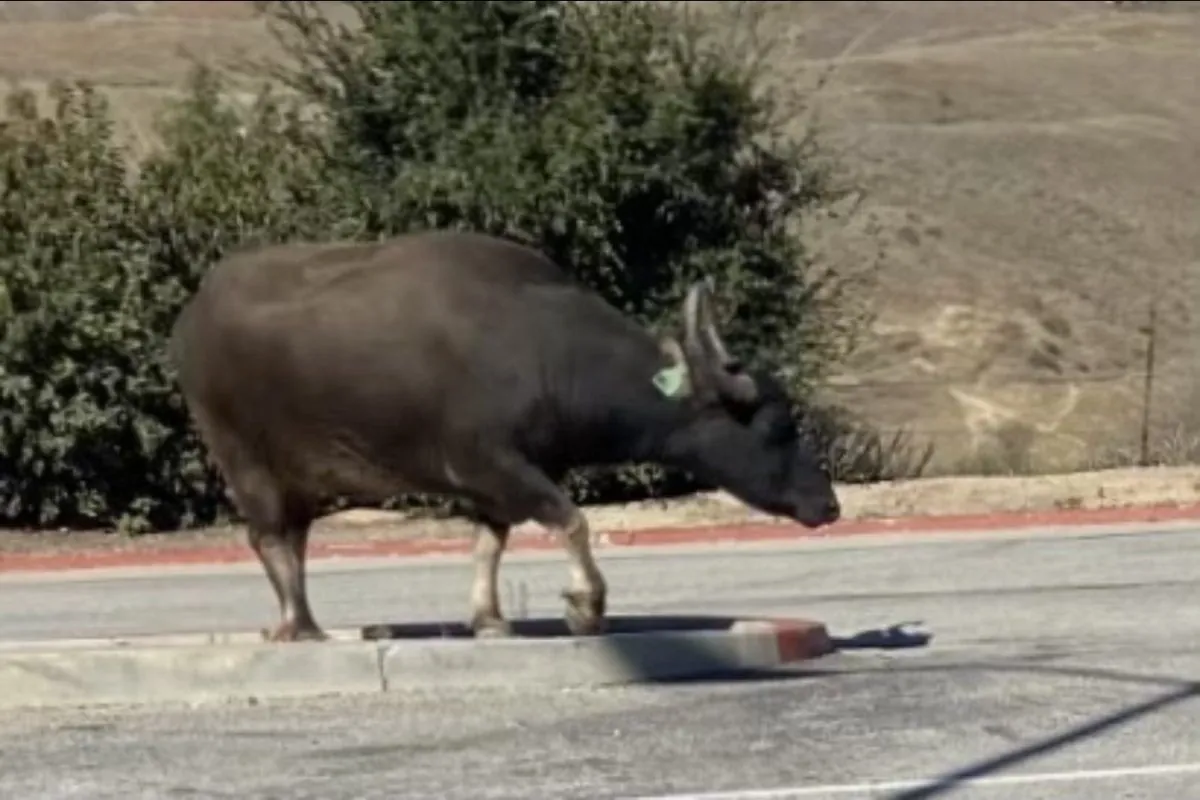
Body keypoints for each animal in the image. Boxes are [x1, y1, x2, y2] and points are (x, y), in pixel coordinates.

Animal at [171, 227, 844, 642]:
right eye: (778, 425)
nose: (829, 504)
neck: (544, 352)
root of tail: (192, 317)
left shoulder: (493, 486)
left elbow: (487, 544)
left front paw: (489, 619)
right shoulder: (492, 465)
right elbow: (571, 520)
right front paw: (586, 608)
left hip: (299, 477)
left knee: (295, 539)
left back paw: (304, 622)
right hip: (245, 461)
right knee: (269, 538)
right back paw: (301, 628)